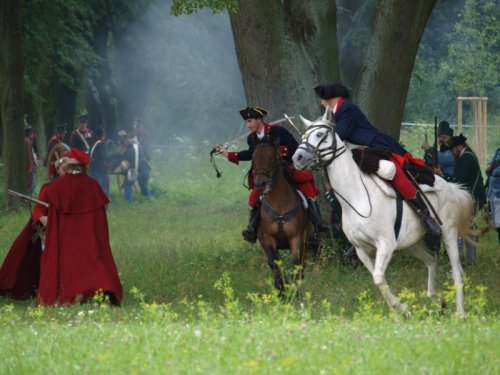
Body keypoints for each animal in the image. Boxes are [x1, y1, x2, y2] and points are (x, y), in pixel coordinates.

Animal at [254, 142, 308, 296]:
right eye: (253, 158)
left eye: (271, 157)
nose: (260, 184)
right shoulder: (268, 238)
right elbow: (274, 263)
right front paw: (282, 290)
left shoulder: (296, 237)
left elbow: (296, 263)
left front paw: (295, 292)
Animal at [292, 108, 472, 318]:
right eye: (304, 136)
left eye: (320, 134)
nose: (297, 158)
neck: (357, 197)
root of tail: (449, 186)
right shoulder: (362, 250)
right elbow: (378, 279)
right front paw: (399, 311)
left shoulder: (385, 244)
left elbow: (378, 277)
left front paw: (401, 308)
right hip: (411, 243)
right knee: (432, 260)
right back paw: (437, 301)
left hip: (448, 233)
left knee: (456, 271)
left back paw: (460, 312)